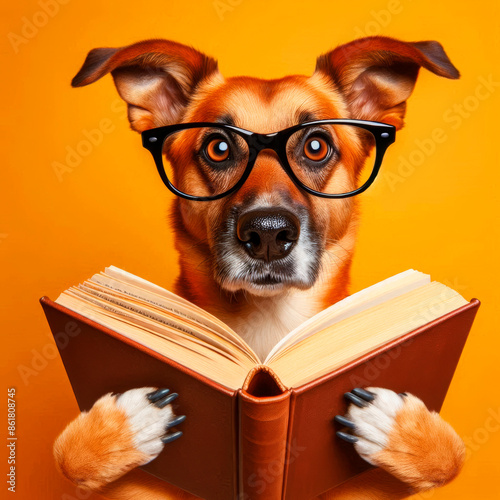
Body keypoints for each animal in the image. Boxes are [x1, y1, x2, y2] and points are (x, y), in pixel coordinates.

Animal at [54, 37, 464, 498]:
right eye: (218, 147)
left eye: (316, 145)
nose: (267, 234)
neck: (267, 325)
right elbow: (65, 456)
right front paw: (116, 431)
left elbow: (453, 456)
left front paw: (406, 433)